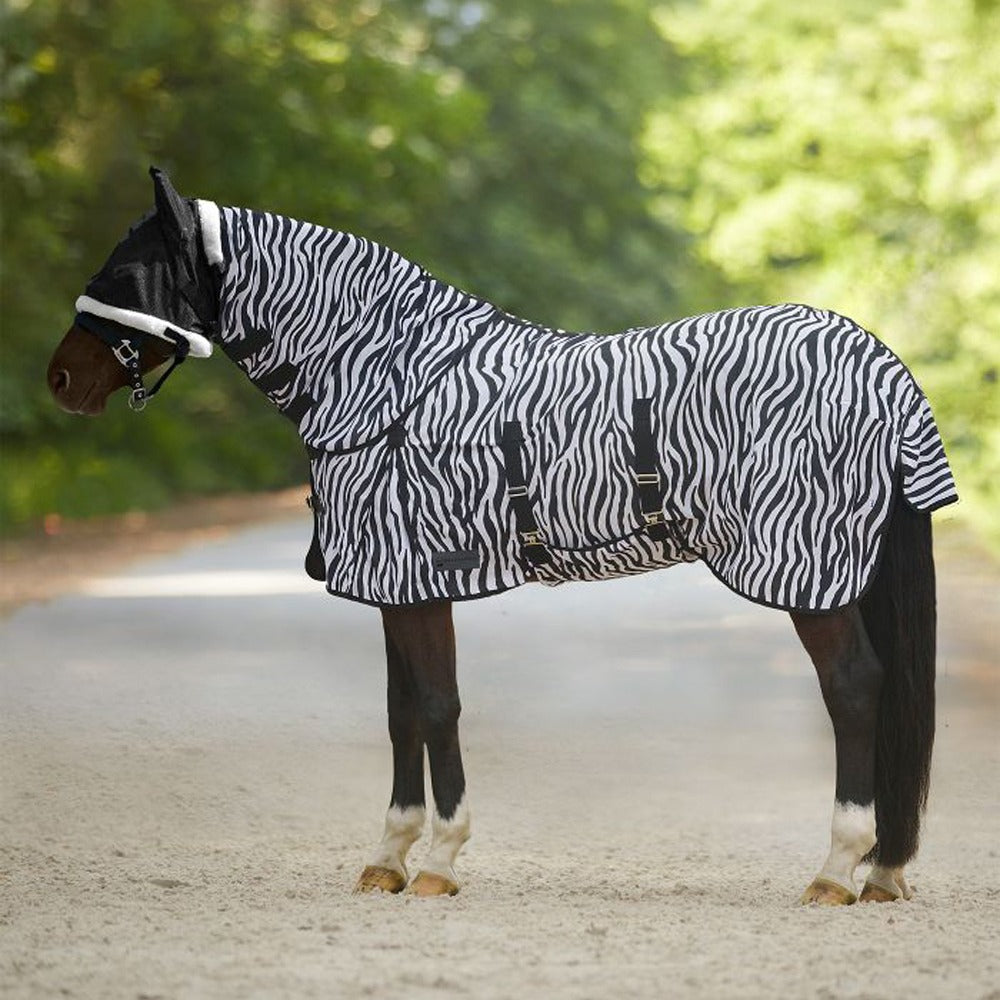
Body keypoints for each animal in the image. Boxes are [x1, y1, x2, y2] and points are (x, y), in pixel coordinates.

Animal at [47, 167, 956, 904]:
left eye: (126, 274)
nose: (59, 380)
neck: (389, 382)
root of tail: (882, 366)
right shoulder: (397, 582)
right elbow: (402, 711)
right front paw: (388, 858)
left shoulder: (417, 579)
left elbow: (438, 706)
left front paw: (440, 862)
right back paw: (882, 871)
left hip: (811, 572)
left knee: (855, 689)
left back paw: (836, 870)